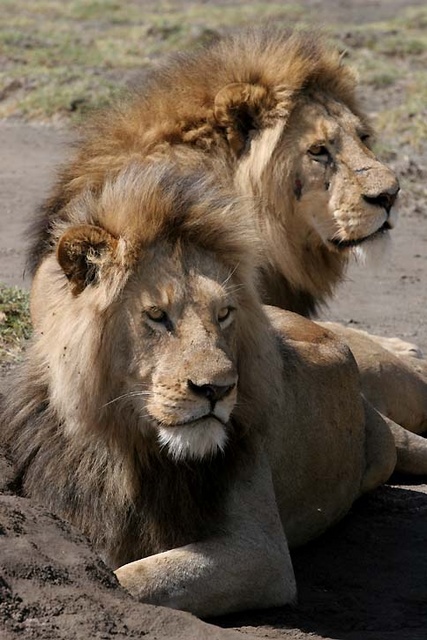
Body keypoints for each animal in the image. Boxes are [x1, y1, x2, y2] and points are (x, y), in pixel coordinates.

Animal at [2, 161, 427, 617]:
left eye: (223, 314)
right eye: (157, 315)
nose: (217, 390)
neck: (126, 448)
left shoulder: (261, 552)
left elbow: (130, 580)